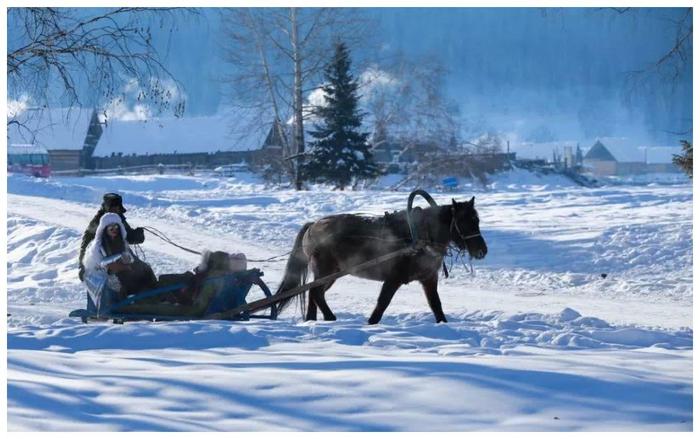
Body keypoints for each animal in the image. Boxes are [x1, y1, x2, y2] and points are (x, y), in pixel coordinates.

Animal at [274, 198, 486, 324]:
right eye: (464, 221)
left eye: (476, 220)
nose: (482, 251)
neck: (419, 237)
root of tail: (313, 225)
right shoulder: (393, 279)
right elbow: (382, 304)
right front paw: (371, 323)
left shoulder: (428, 279)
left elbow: (436, 305)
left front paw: (443, 324)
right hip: (325, 270)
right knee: (316, 293)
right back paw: (329, 317)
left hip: (330, 274)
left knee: (313, 293)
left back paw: (312, 319)